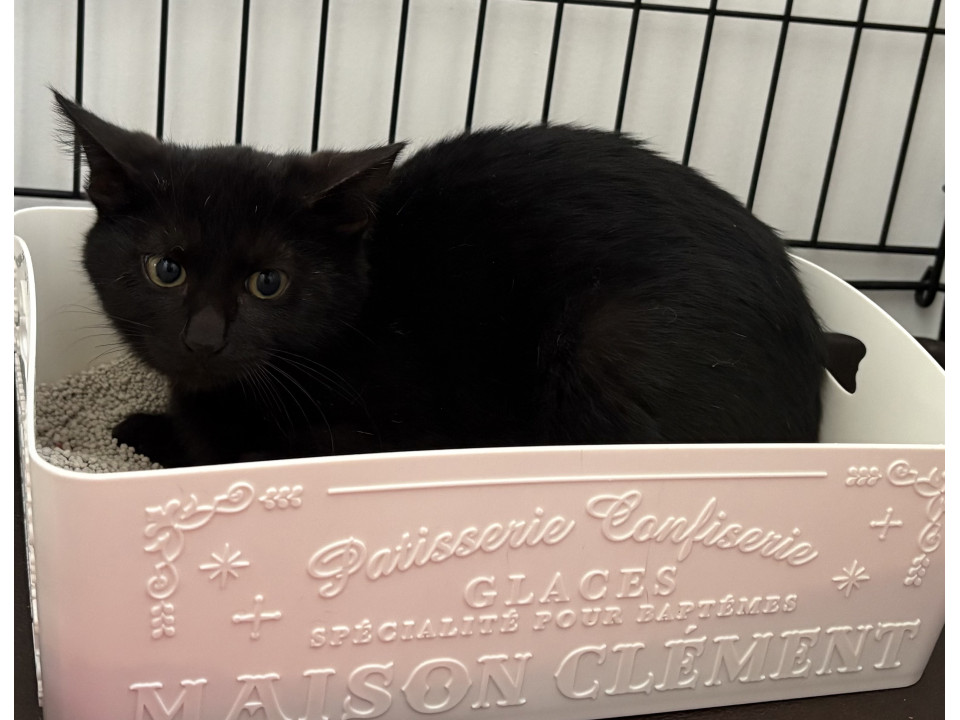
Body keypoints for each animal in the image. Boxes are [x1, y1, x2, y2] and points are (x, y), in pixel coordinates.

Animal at [53, 90, 826, 468]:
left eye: (268, 283)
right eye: (165, 269)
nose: (205, 339)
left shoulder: (397, 434)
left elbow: (237, 453)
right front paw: (148, 427)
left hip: (608, 343)